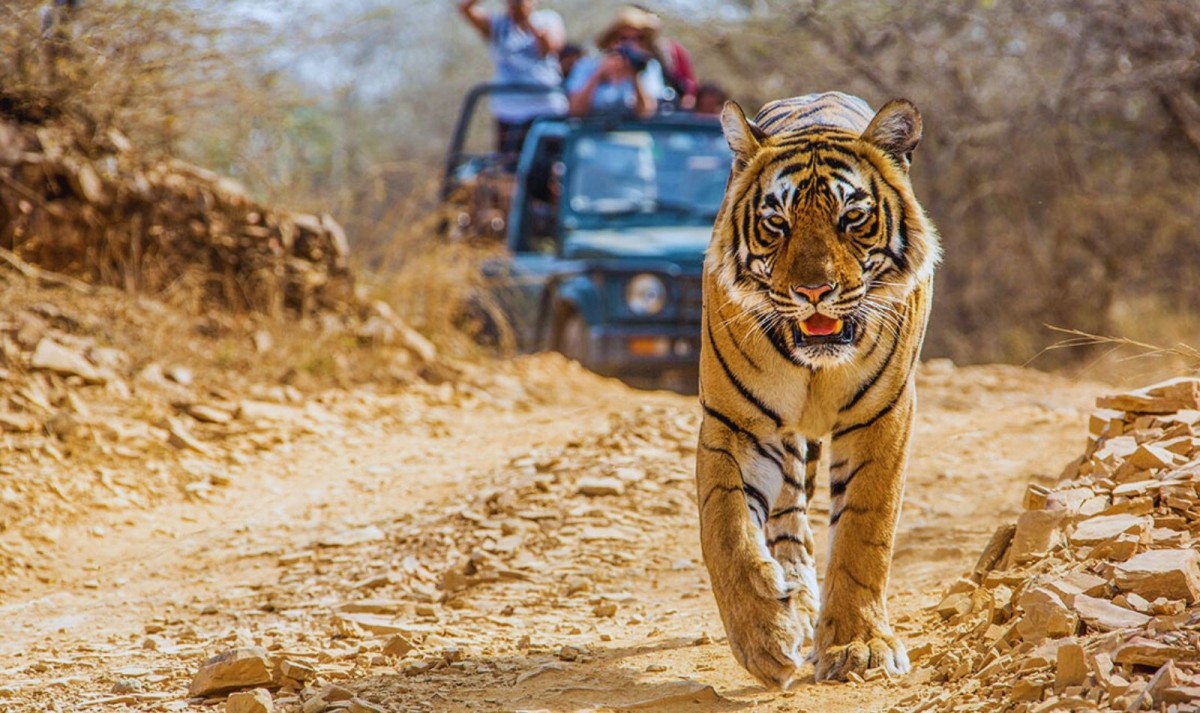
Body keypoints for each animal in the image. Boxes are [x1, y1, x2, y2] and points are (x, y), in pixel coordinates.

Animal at [695, 91, 940, 687]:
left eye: (852, 218)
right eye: (776, 223)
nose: (813, 291)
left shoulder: (883, 415)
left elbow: (864, 533)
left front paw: (860, 647)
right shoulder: (735, 423)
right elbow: (726, 529)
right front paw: (763, 637)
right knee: (787, 519)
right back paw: (796, 603)